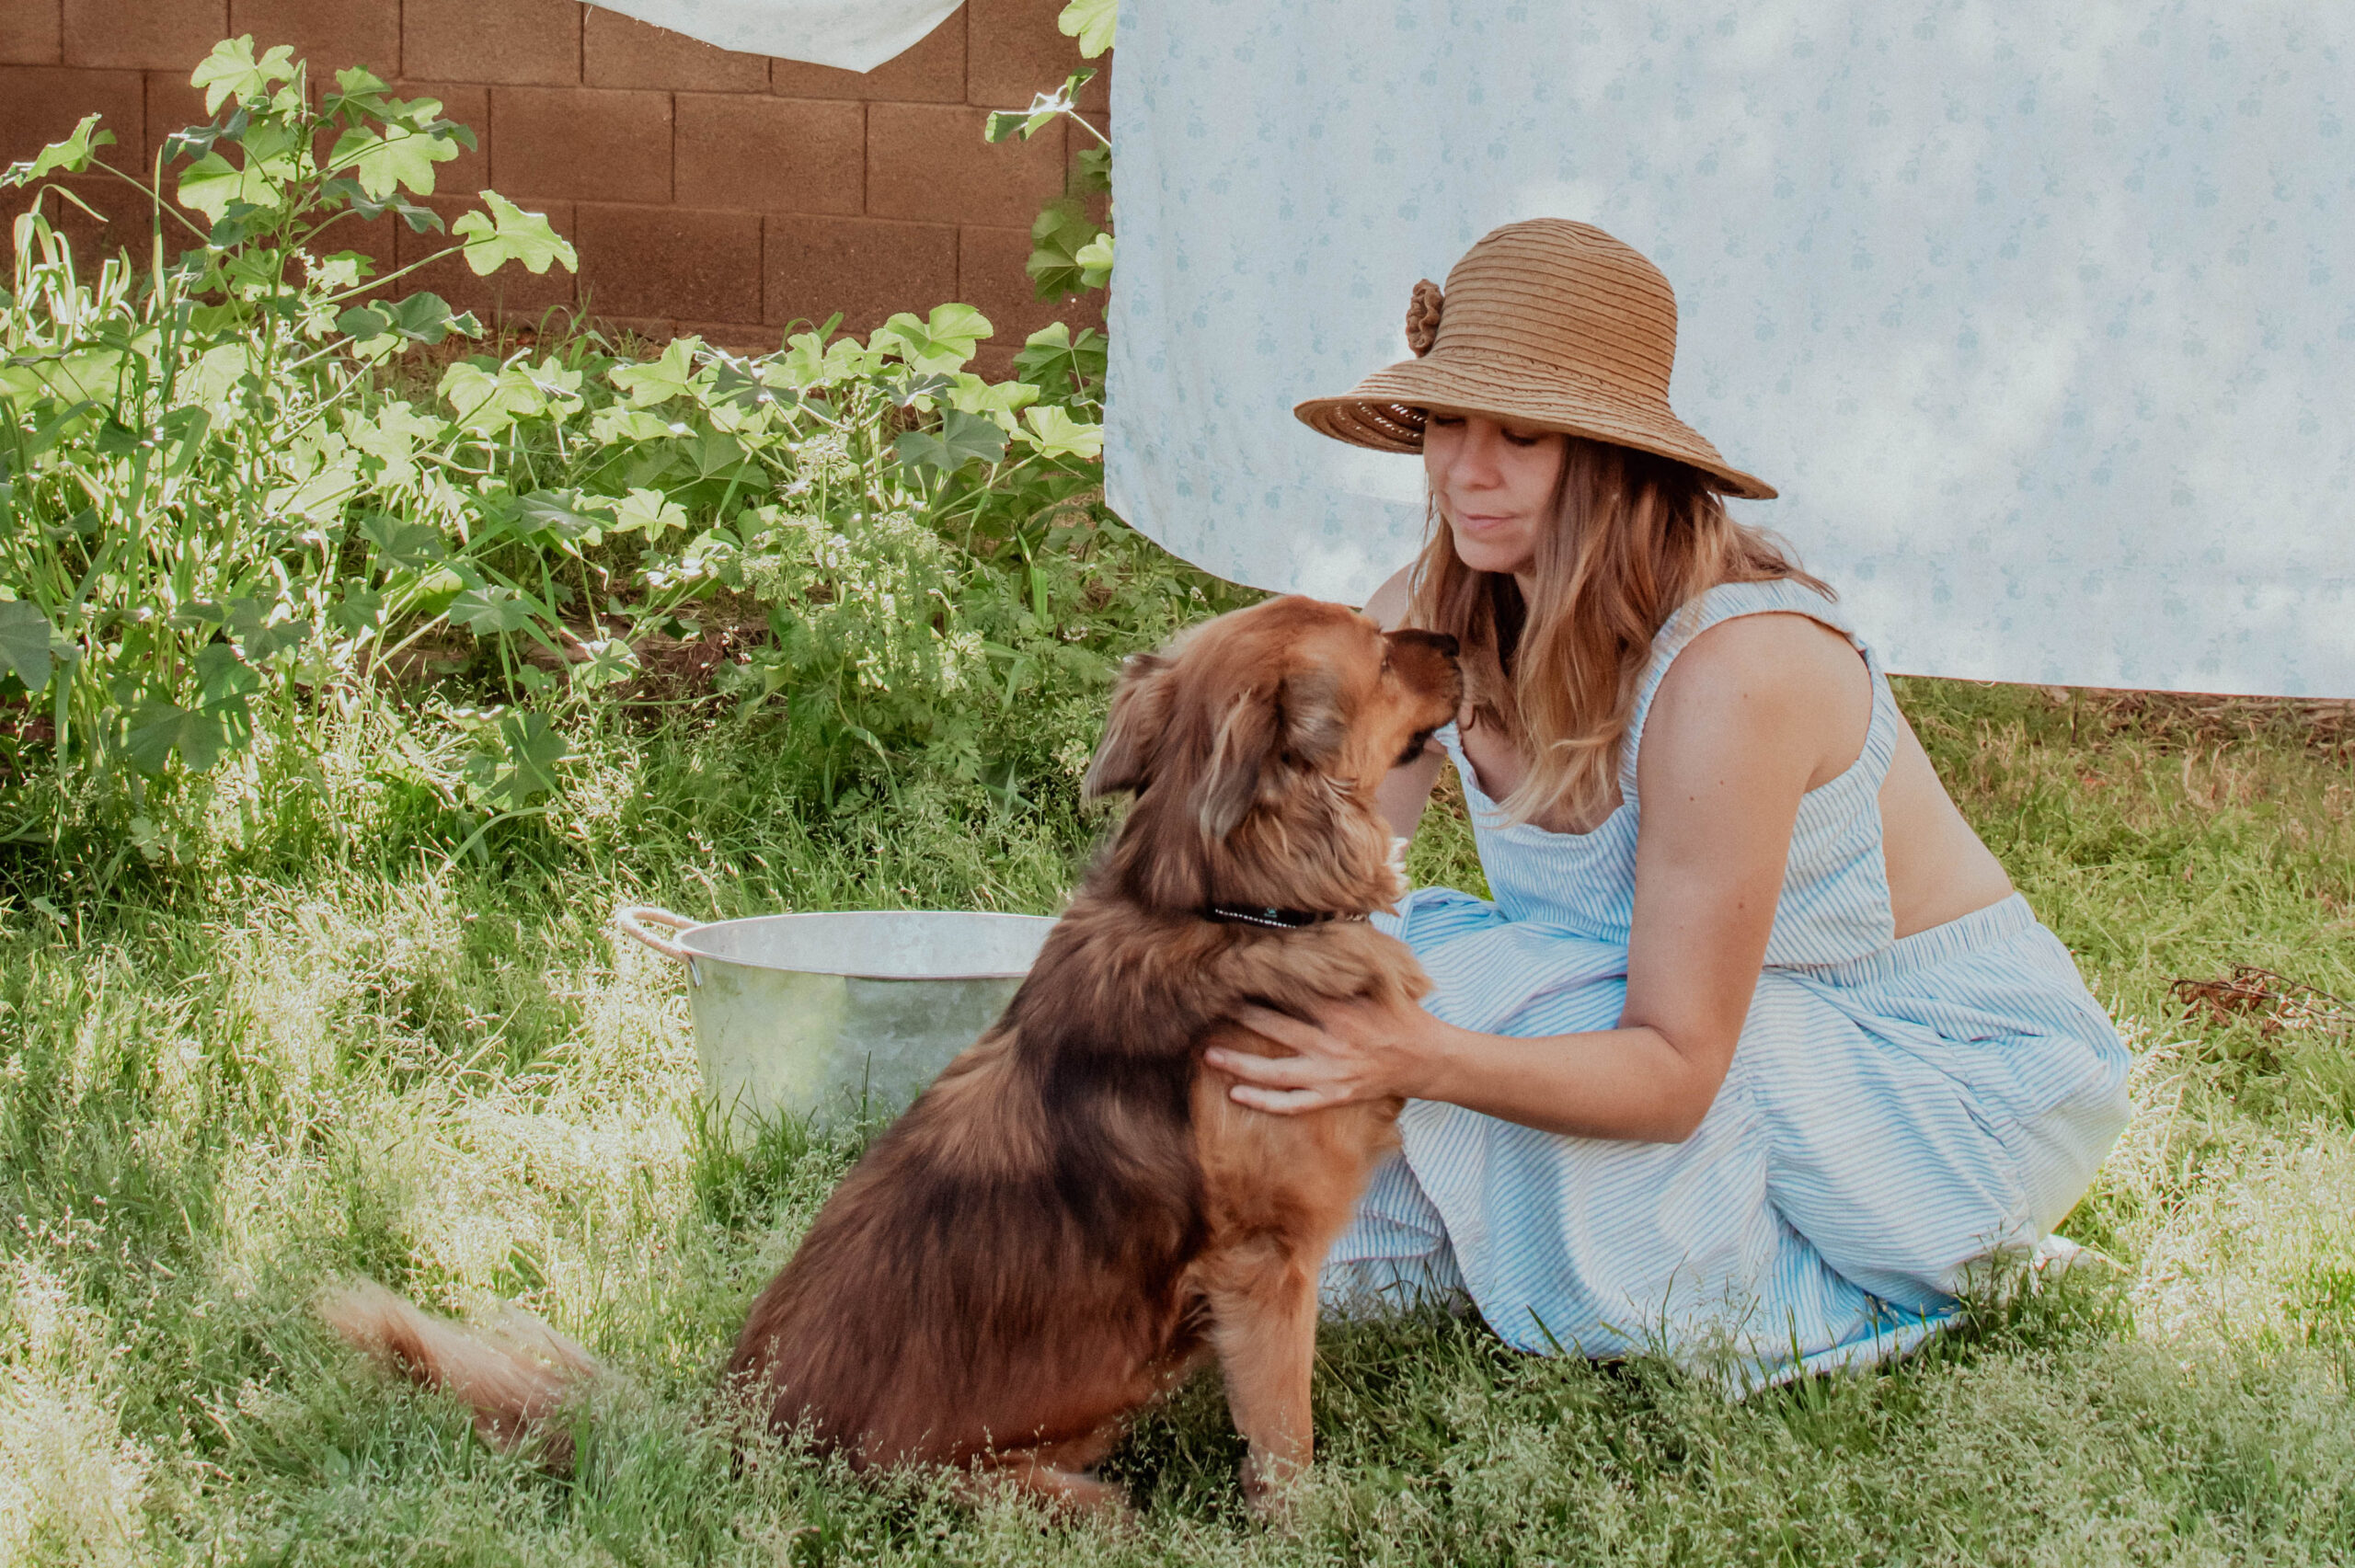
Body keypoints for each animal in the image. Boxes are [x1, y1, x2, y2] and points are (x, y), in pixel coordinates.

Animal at [327, 593, 1469, 1506]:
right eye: (1378, 651)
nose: (1459, 635)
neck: (1223, 904)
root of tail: (731, 1435)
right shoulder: (1267, 1268)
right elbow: (1285, 1442)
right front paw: (1305, 1526)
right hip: (1053, 1497)